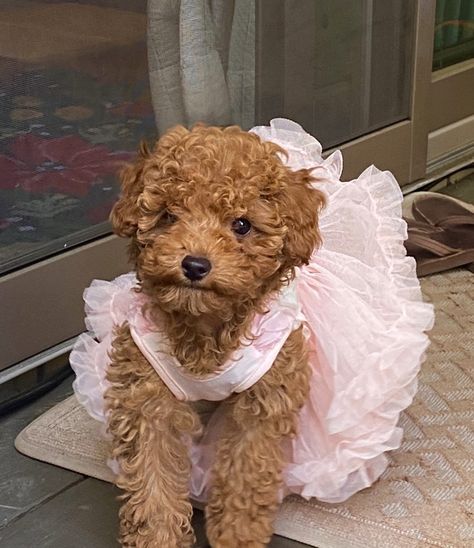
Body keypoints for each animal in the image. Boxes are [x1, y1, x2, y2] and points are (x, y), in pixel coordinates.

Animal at [104, 125, 326, 548]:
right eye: (168, 216)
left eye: (242, 225)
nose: (194, 264)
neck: (204, 325)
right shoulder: (147, 398)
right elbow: (152, 481)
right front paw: (158, 537)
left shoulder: (263, 402)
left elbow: (245, 476)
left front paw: (237, 537)